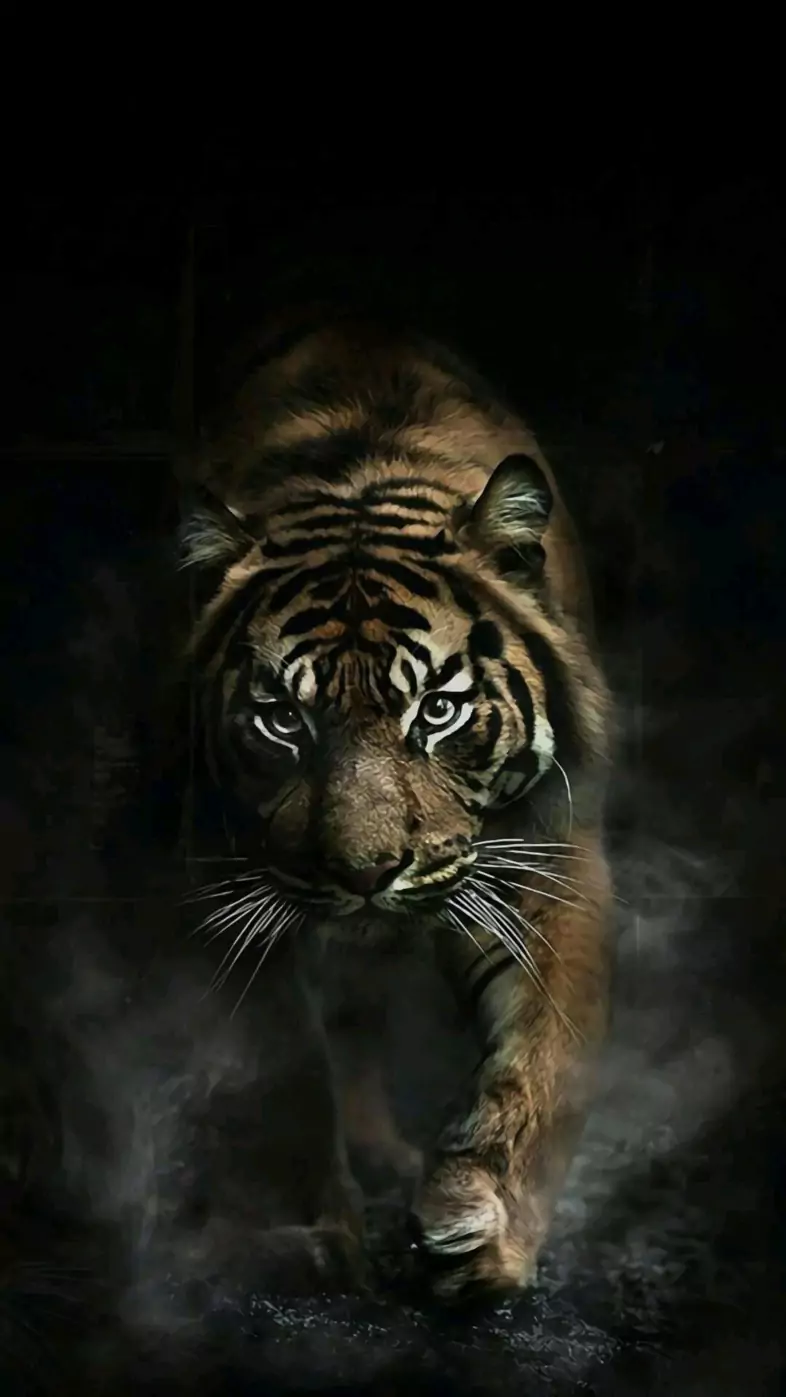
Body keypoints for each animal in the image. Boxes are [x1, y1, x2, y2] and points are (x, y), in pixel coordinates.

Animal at [175, 308, 614, 1303]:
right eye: (282, 718)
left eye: (438, 710)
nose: (366, 871)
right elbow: (288, 1065)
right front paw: (319, 1236)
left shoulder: (548, 854)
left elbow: (544, 1054)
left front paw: (482, 1232)